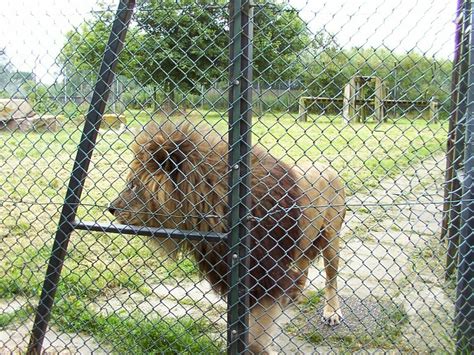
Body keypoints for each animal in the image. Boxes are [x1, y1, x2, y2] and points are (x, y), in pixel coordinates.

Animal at [109, 121, 346, 354]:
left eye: (133, 184)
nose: (110, 208)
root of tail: (328, 168)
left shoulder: (266, 274)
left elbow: (256, 339)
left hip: (331, 239)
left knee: (331, 278)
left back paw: (332, 312)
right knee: (303, 266)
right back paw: (295, 294)